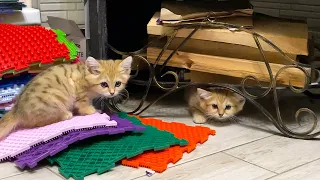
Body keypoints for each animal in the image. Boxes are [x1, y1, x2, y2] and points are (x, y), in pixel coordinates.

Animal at [0, 56, 132, 139]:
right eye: (104, 84)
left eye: (118, 84)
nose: (112, 93)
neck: (85, 75)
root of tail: (16, 110)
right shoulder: (80, 92)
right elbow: (83, 104)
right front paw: (92, 110)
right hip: (55, 99)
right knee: (40, 122)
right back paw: (66, 114)